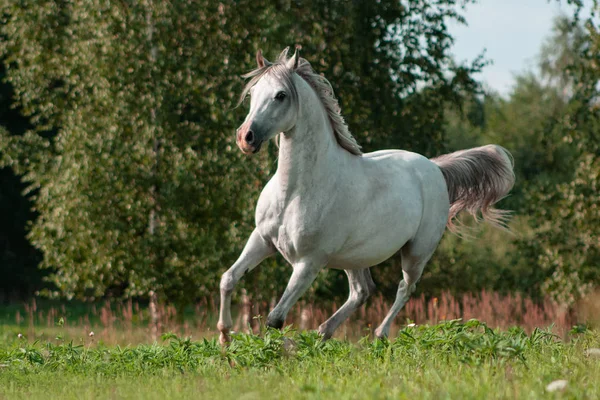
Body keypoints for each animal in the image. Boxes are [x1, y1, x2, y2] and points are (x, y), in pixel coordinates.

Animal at [218, 47, 512, 344]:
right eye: (253, 92)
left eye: (281, 95)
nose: (246, 138)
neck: (294, 192)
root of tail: (435, 167)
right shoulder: (262, 239)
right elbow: (228, 279)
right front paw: (224, 338)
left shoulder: (309, 262)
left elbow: (274, 319)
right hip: (355, 256)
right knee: (363, 290)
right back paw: (324, 332)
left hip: (417, 252)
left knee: (405, 288)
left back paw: (378, 334)